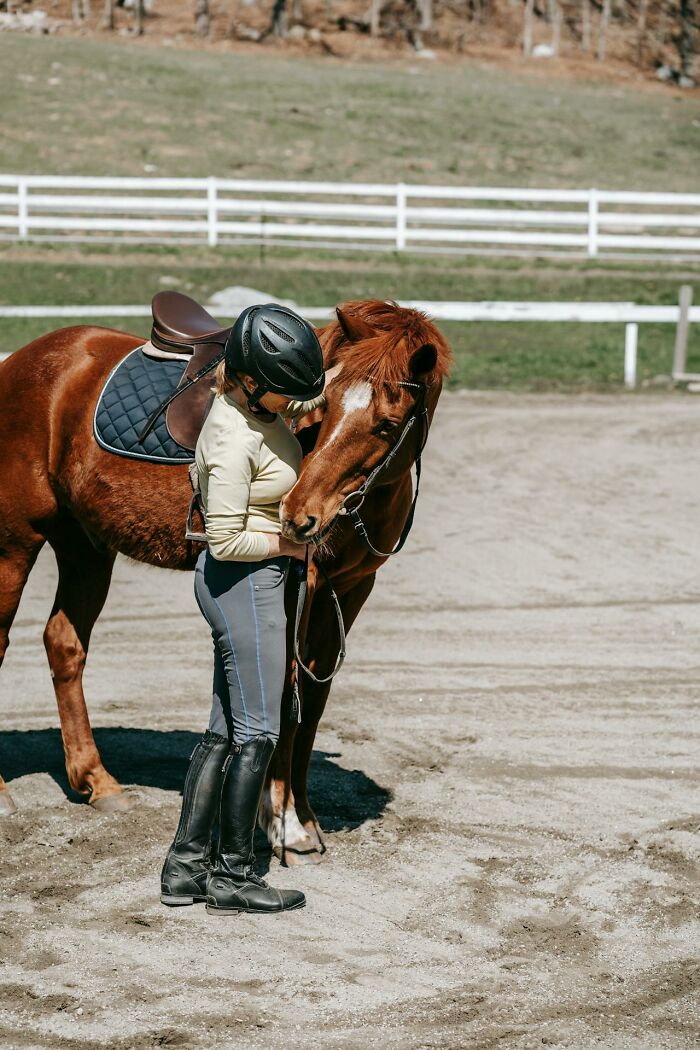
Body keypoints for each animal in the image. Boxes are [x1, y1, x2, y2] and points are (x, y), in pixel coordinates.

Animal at [0, 298, 451, 863]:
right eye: (324, 407)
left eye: (388, 425)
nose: (298, 516)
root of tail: (22, 361)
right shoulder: (297, 584)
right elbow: (284, 689)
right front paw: (281, 822)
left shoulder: (349, 590)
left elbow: (312, 701)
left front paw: (302, 815)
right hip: (15, 543)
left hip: (85, 547)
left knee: (64, 644)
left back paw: (97, 782)